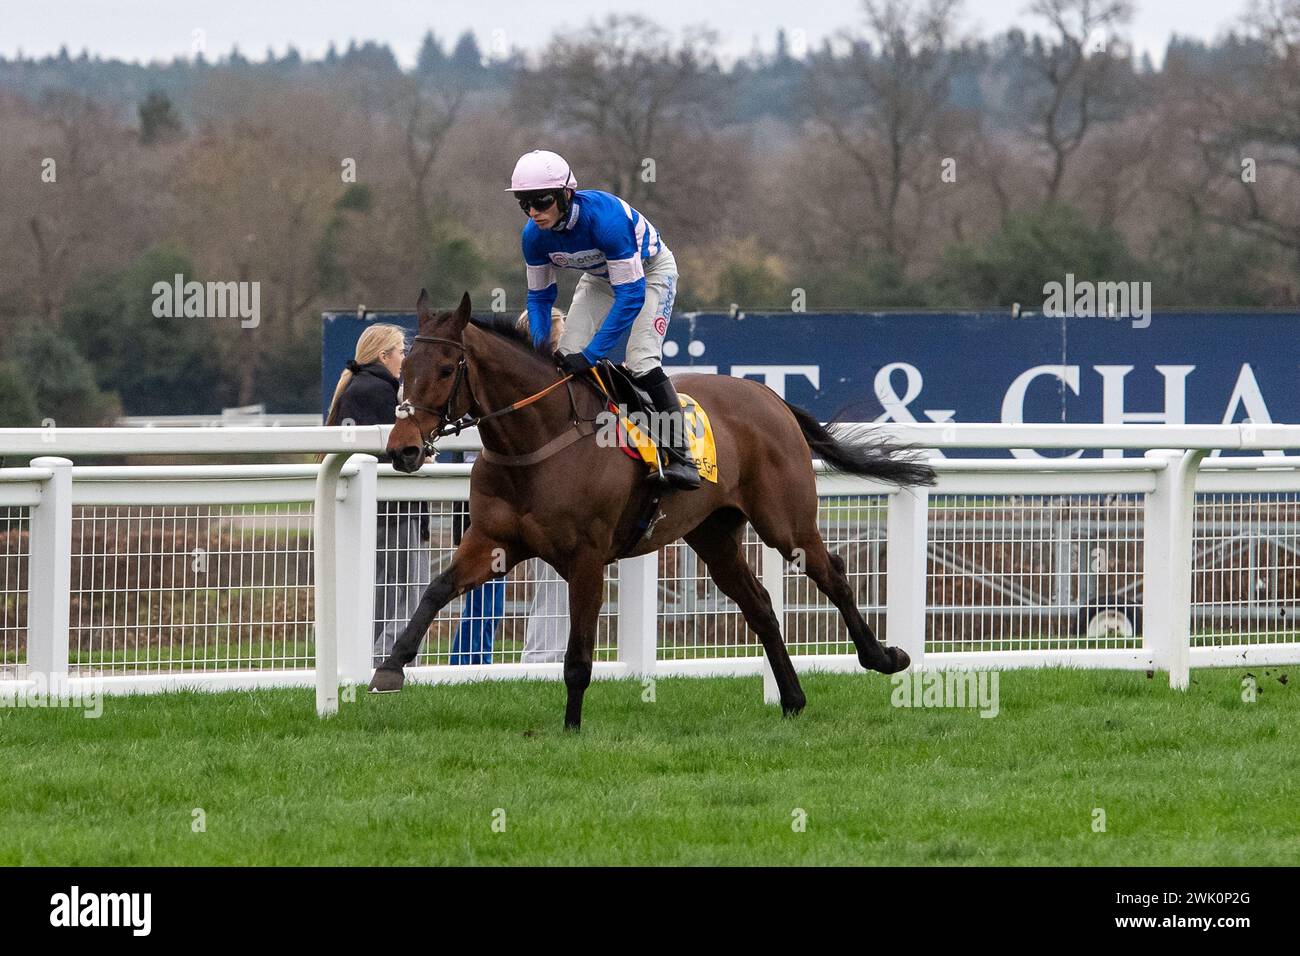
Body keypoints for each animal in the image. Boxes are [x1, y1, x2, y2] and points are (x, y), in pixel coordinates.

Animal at [366, 287, 935, 728]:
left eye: (445, 369)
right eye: (404, 368)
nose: (403, 449)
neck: (539, 440)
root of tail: (770, 398)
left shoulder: (587, 557)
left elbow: (578, 654)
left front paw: (571, 727)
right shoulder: (494, 542)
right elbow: (436, 589)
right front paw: (389, 668)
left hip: (786, 521)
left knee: (831, 574)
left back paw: (884, 656)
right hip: (711, 533)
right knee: (759, 604)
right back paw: (793, 700)